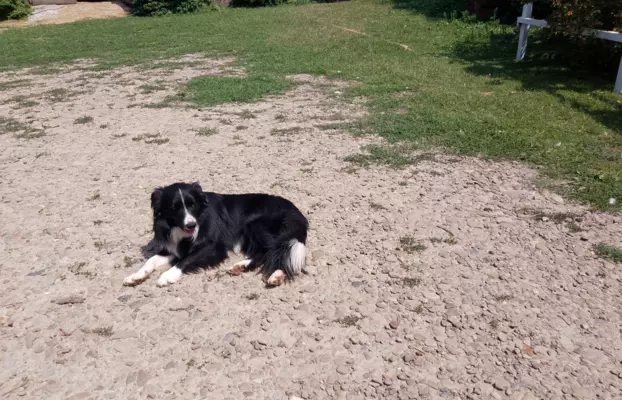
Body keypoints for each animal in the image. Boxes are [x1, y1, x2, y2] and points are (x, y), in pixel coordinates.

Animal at [122, 181, 310, 288]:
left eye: (192, 205)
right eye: (174, 208)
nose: (191, 225)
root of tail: (296, 213)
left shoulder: (214, 246)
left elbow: (187, 259)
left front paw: (168, 276)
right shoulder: (174, 248)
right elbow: (151, 261)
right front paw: (135, 276)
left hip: (256, 225)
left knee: (274, 250)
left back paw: (277, 274)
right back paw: (240, 266)